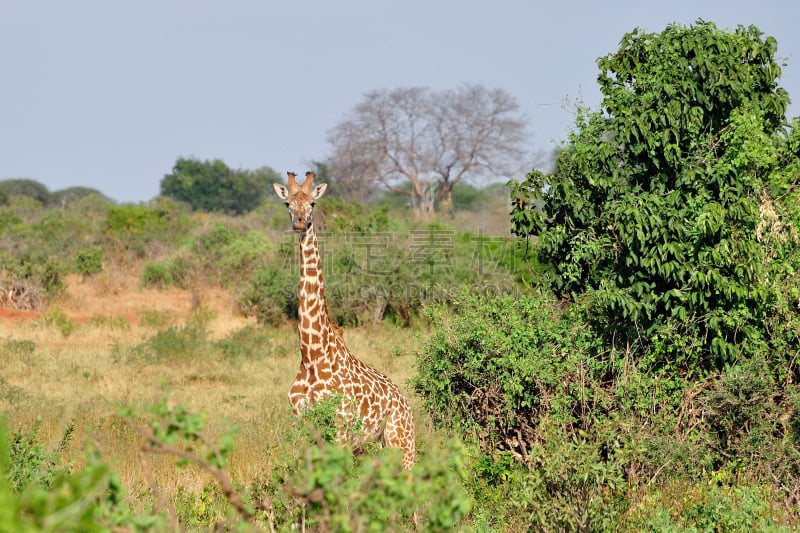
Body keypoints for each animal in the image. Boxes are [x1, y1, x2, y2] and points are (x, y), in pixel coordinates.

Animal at [274, 172, 416, 468]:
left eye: (313, 203)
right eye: (287, 203)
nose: (299, 222)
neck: (312, 355)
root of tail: (406, 403)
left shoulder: (341, 428)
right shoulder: (303, 425)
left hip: (401, 443)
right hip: (376, 446)